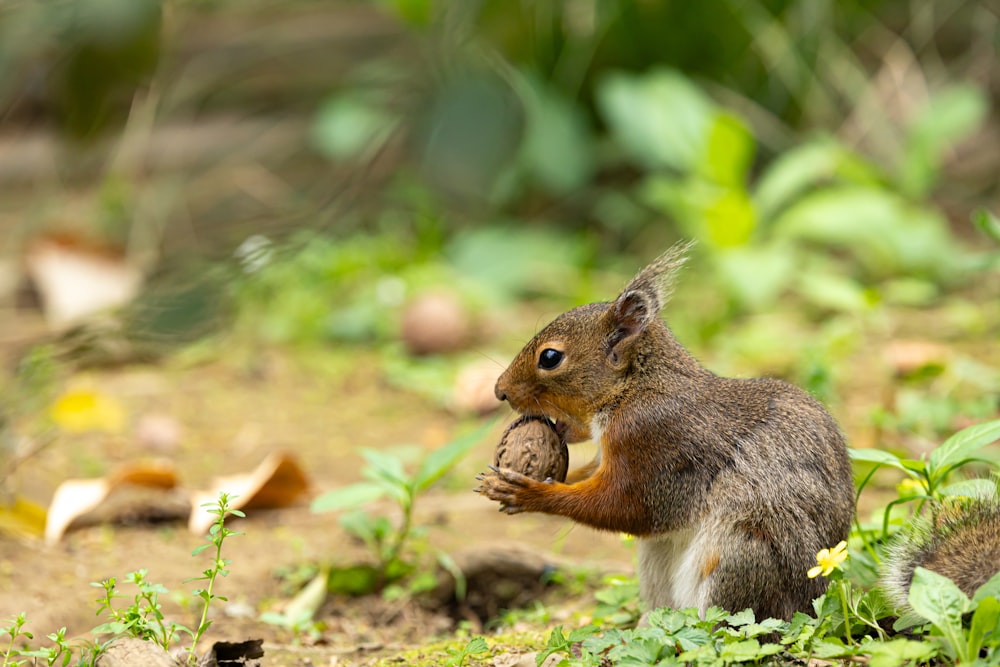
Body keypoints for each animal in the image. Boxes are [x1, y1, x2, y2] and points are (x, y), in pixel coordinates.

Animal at [474, 244, 852, 620]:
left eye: (550, 357)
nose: (499, 391)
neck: (635, 387)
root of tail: (810, 605)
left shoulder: (654, 443)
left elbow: (625, 508)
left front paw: (529, 493)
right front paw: (500, 481)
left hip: (742, 555)